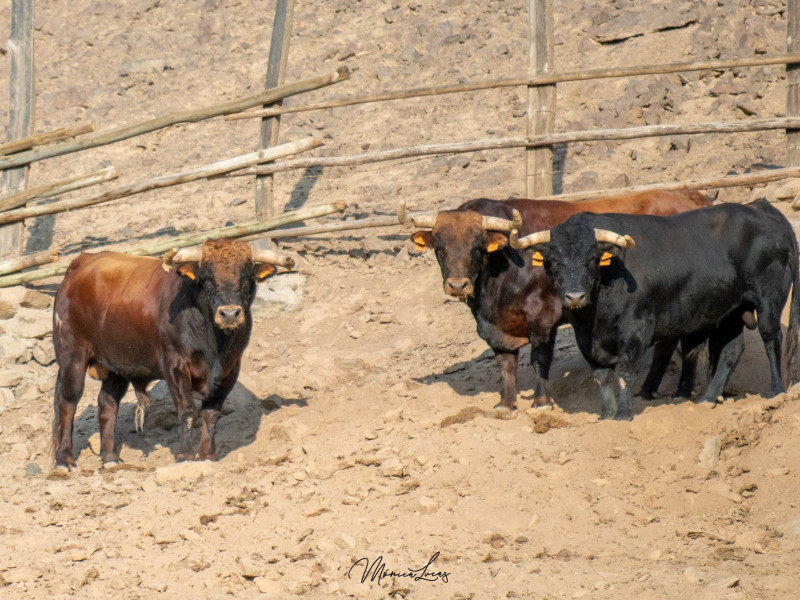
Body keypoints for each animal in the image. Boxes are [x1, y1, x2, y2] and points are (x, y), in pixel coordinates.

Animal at [52, 239, 294, 468]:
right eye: (207, 279)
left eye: (246, 277)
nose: (229, 314)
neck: (214, 344)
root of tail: (81, 262)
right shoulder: (175, 366)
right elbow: (187, 410)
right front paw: (185, 454)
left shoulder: (231, 369)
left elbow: (211, 413)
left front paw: (207, 455)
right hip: (72, 356)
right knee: (67, 402)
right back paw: (64, 460)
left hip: (117, 365)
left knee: (107, 404)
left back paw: (110, 458)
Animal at [404, 191, 708, 412]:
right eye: (440, 248)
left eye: (477, 246)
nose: (457, 285)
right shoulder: (497, 327)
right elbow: (506, 364)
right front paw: (506, 403)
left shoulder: (543, 317)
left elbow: (540, 359)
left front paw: (541, 401)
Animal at [520, 199, 800, 420]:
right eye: (552, 262)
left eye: (592, 258)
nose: (575, 296)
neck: (595, 315)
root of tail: (762, 207)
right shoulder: (585, 339)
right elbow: (603, 376)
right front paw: (606, 415)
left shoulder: (636, 330)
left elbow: (624, 372)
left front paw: (623, 415)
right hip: (732, 311)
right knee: (732, 350)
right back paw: (708, 398)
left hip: (769, 299)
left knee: (771, 337)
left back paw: (776, 391)